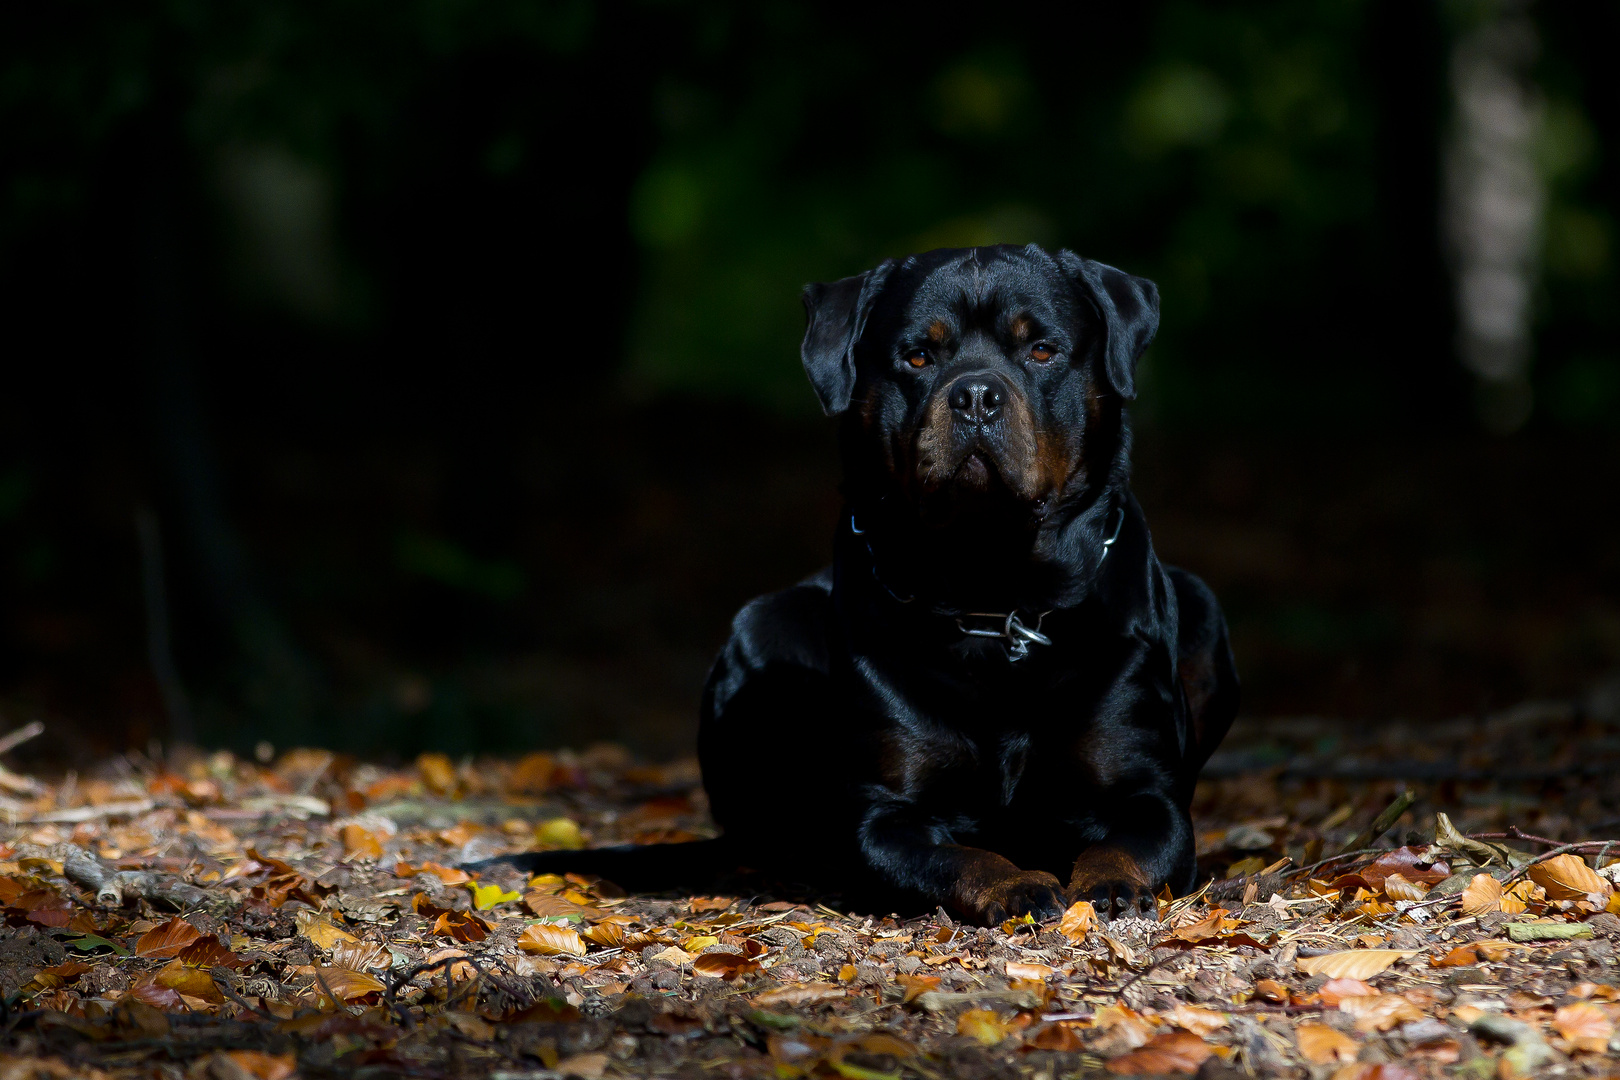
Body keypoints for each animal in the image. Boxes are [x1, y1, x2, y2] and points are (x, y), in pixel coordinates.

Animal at [473, 247, 1231, 932]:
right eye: (917, 358)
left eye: (1042, 350)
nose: (976, 394)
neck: (993, 597)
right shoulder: (882, 816)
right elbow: (954, 857)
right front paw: (1015, 885)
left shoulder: (1146, 794)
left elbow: (1130, 841)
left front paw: (1107, 884)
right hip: (766, 624)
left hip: (1201, 607)